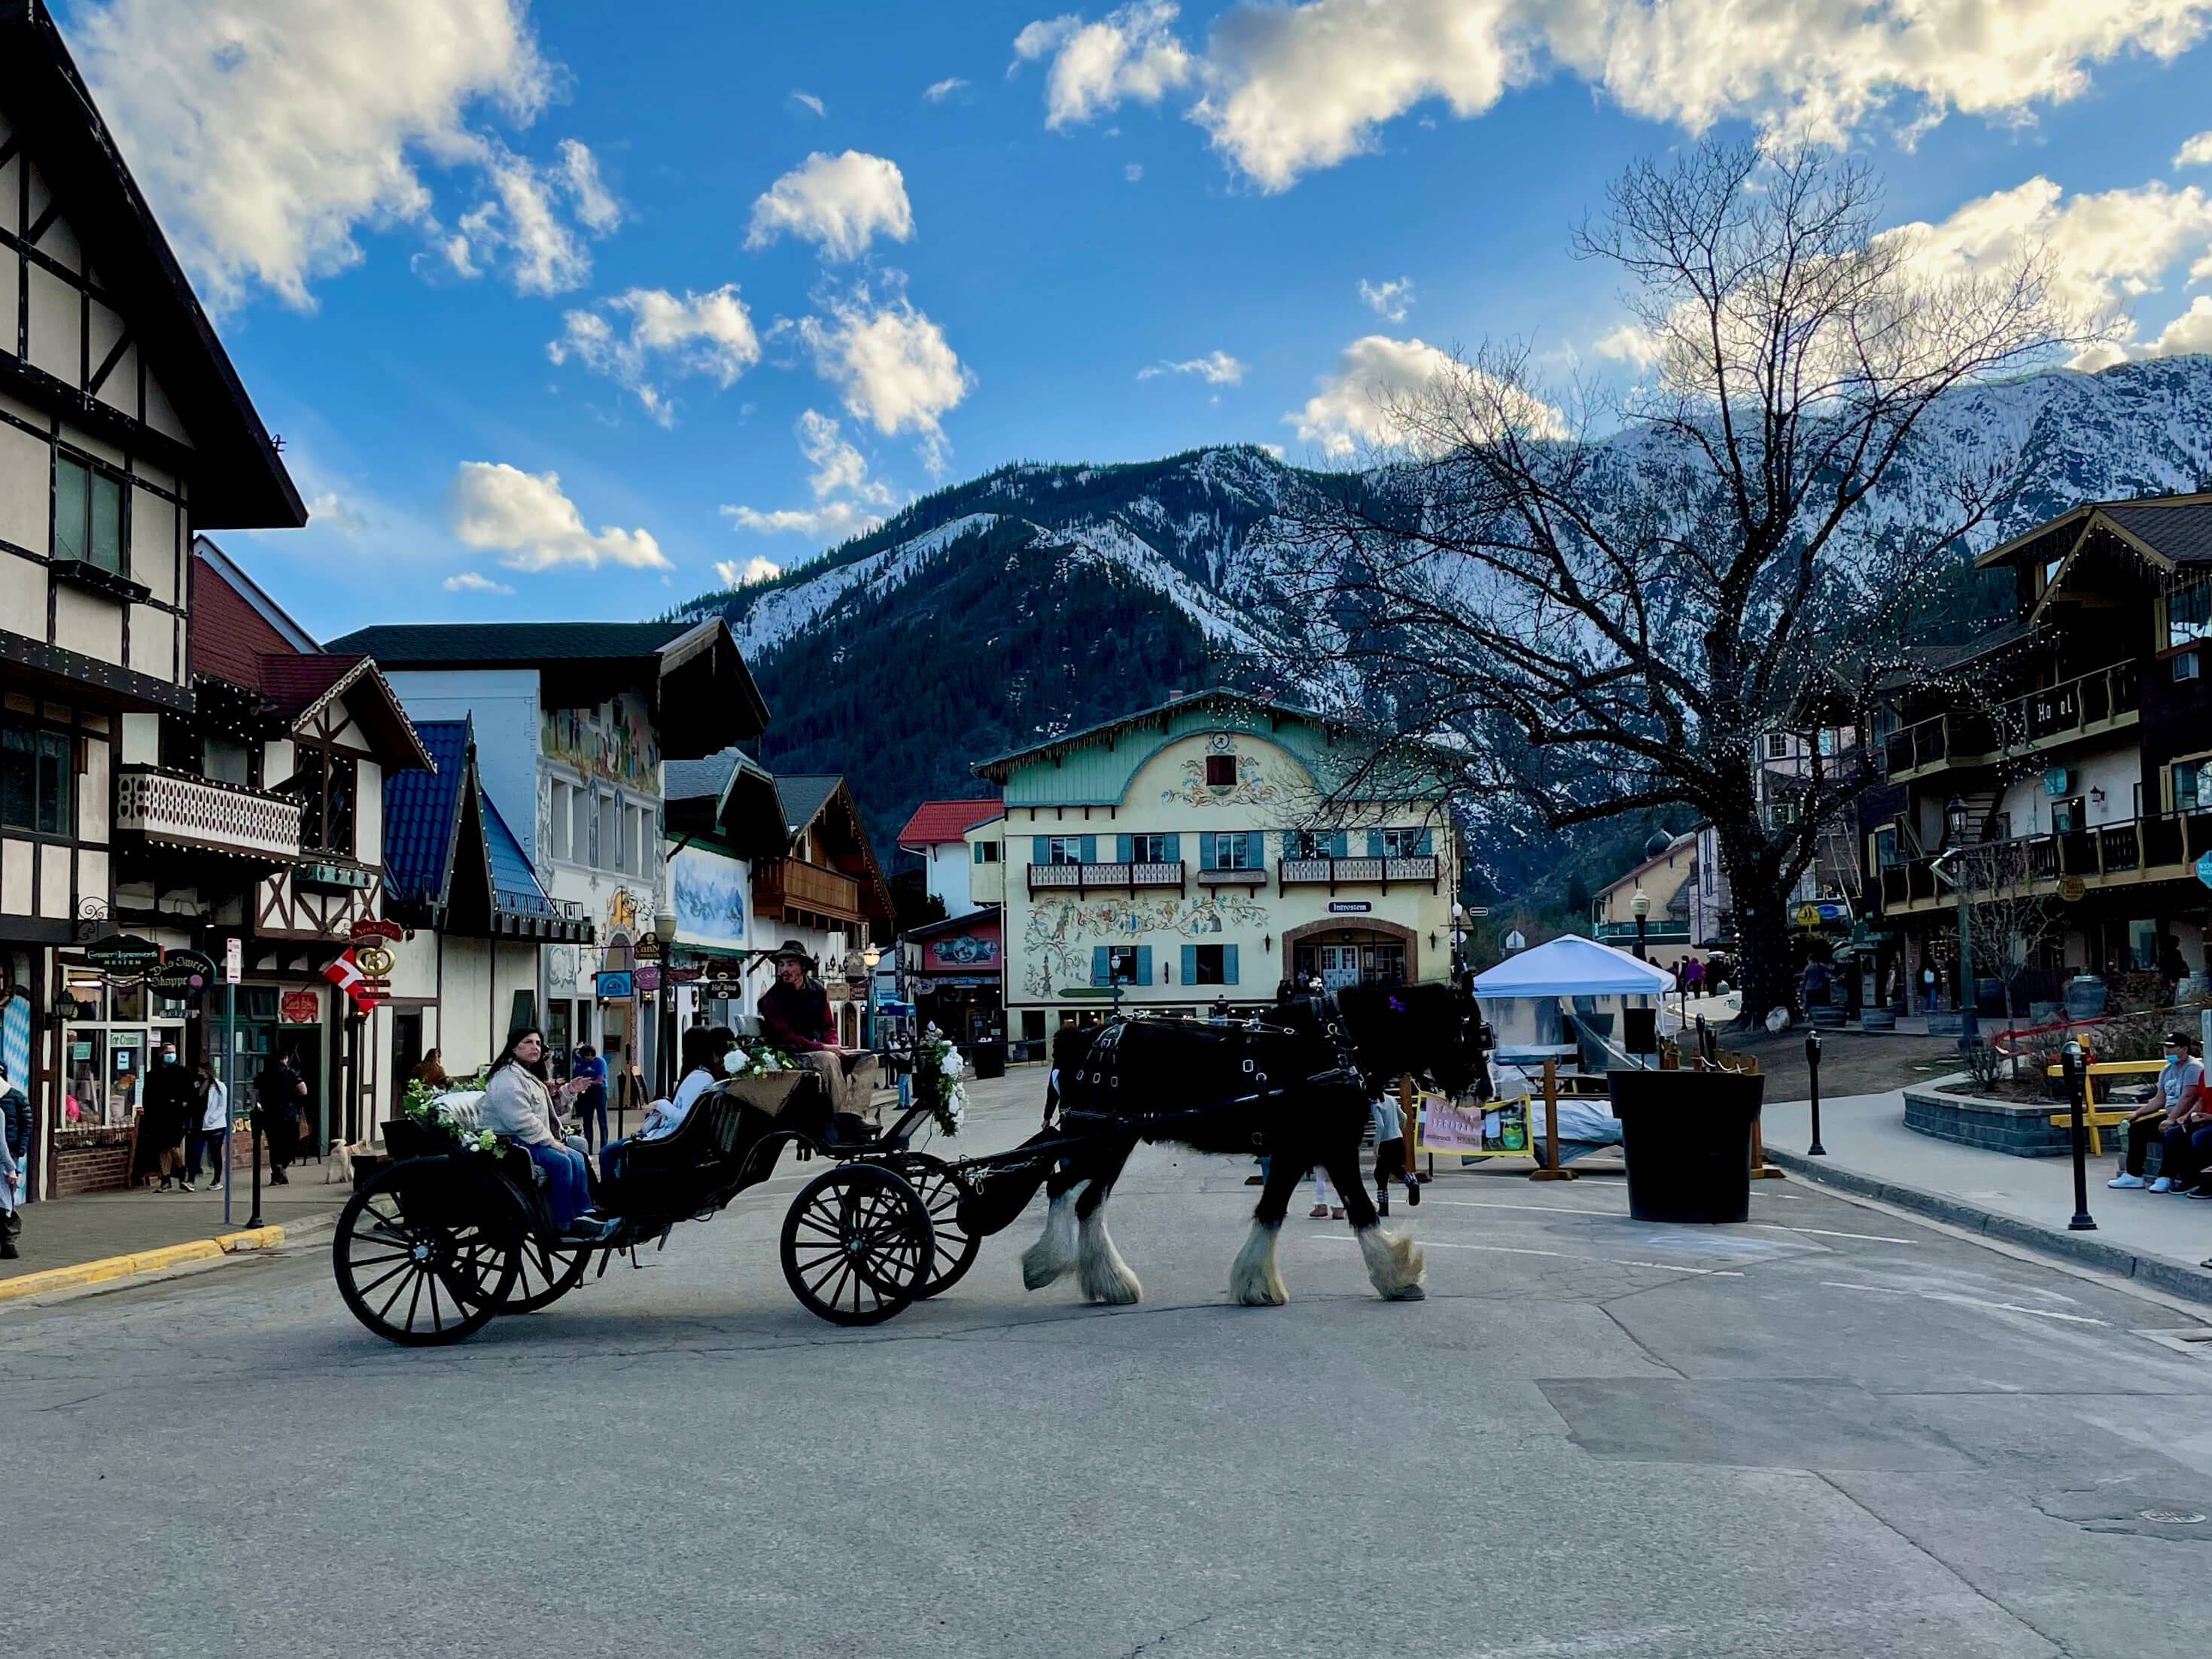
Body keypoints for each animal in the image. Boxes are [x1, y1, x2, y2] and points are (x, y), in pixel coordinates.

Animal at [1017, 986, 1486, 1309]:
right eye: (1472, 1033)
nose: (1484, 1089)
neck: (1336, 1046)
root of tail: (1082, 1036)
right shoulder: (1325, 1146)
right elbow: (1353, 1208)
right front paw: (1398, 1277)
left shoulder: (1308, 1150)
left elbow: (1280, 1209)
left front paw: (1256, 1283)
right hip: (1104, 1140)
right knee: (1064, 1188)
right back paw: (1051, 1265)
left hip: (1112, 1143)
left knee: (1084, 1200)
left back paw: (1106, 1282)